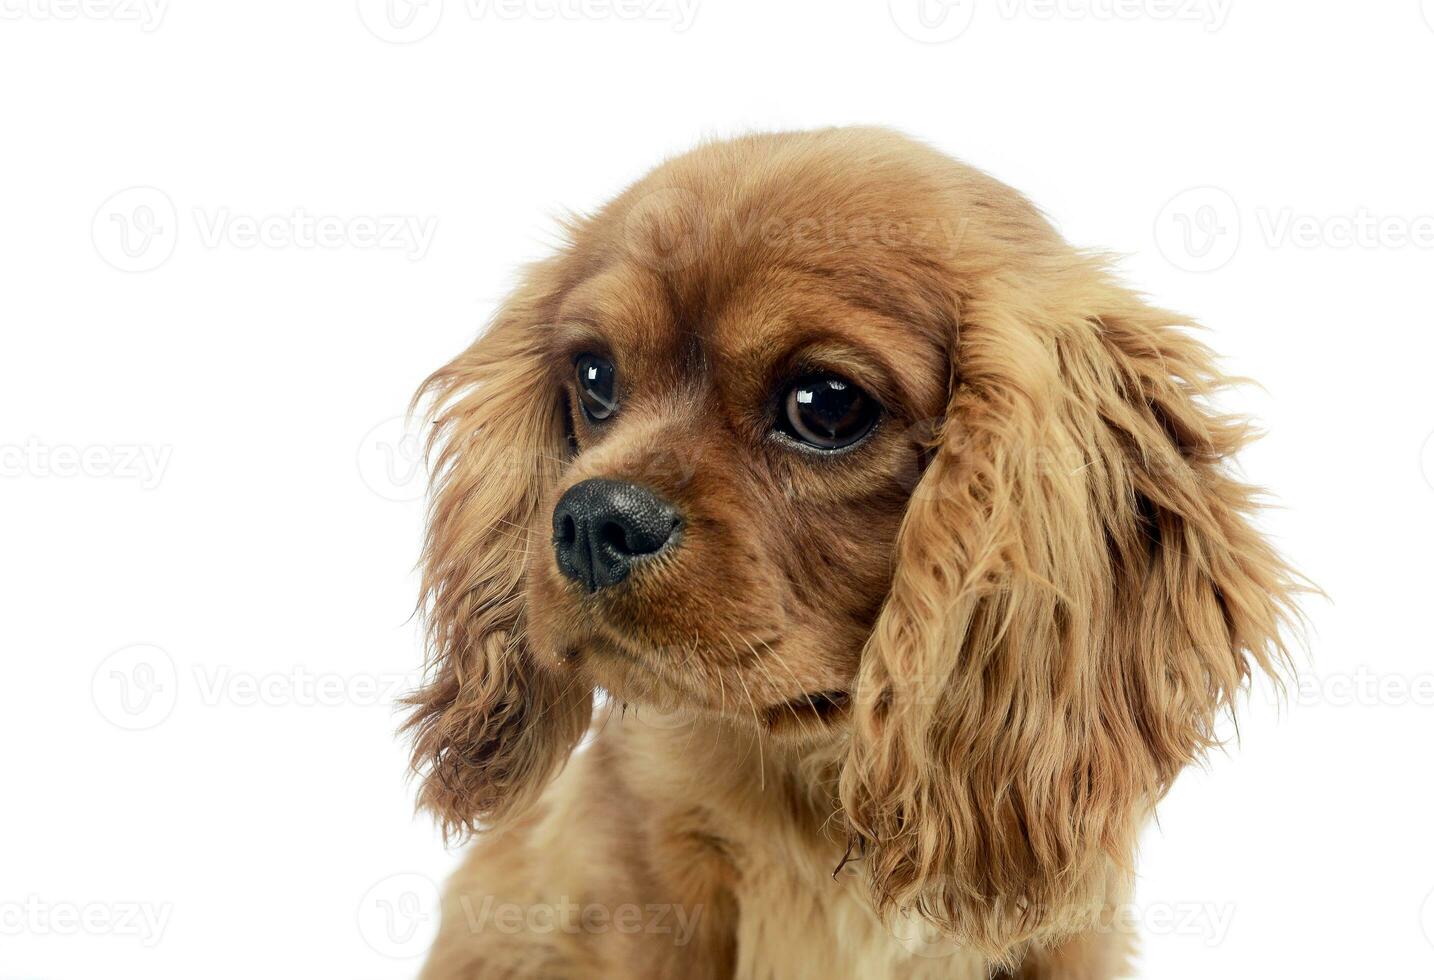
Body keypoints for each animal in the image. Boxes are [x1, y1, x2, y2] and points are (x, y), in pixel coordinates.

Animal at [401, 126, 1302, 975]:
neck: (820, 769)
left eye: (826, 404)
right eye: (594, 379)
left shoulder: (1078, 930)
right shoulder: (643, 873)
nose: (592, 520)